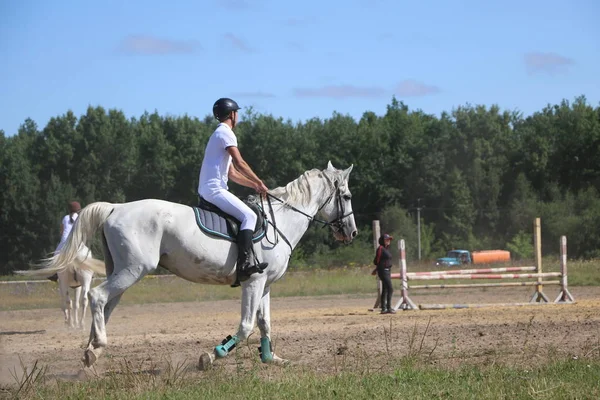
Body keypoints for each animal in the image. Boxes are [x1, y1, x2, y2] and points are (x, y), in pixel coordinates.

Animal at [39, 161, 358, 368]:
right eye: (346, 196)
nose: (351, 233)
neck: (280, 222)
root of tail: (116, 208)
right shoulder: (253, 282)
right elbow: (246, 326)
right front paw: (213, 355)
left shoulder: (265, 285)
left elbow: (265, 323)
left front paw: (271, 358)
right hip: (134, 270)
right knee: (97, 296)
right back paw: (96, 349)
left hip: (121, 270)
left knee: (106, 305)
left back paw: (90, 351)